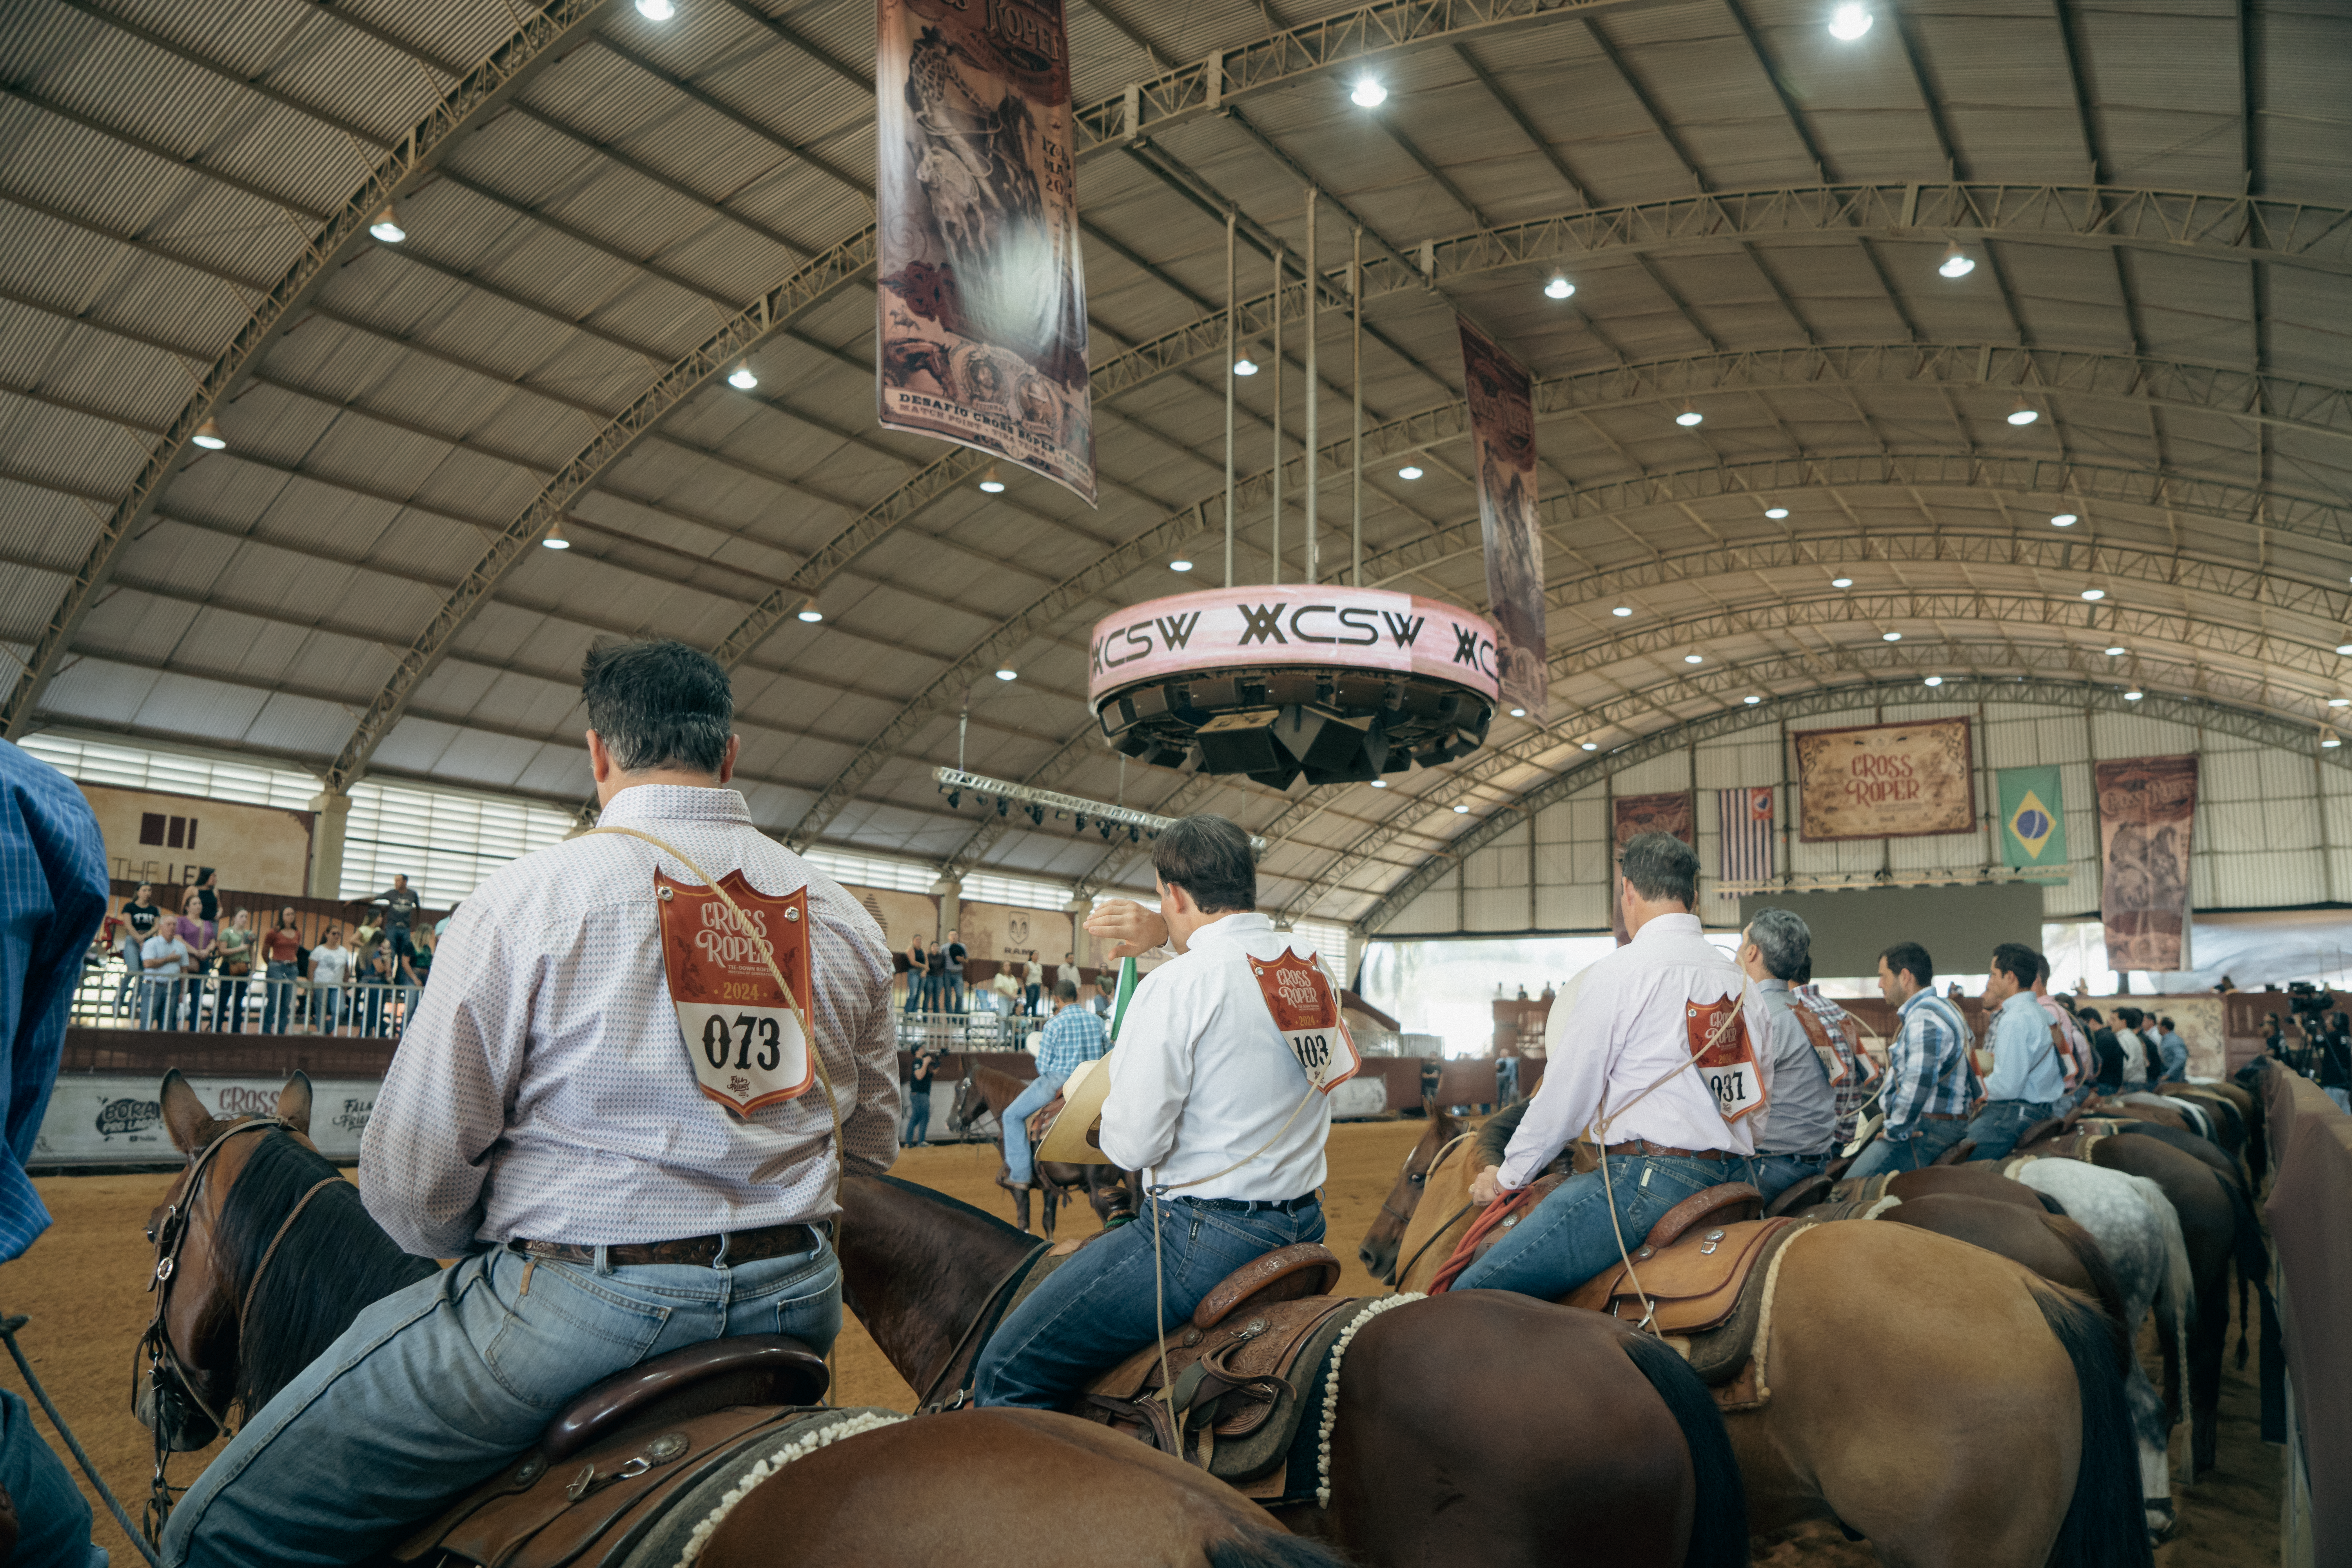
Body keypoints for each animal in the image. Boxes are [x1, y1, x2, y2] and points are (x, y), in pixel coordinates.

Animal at [955, 1062, 1138, 1241]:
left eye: (959, 1089)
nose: (951, 1123)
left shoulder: (1018, 1188)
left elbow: (1024, 1221)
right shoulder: (1050, 1188)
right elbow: (1048, 1222)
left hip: (1101, 1189)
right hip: (1131, 1181)